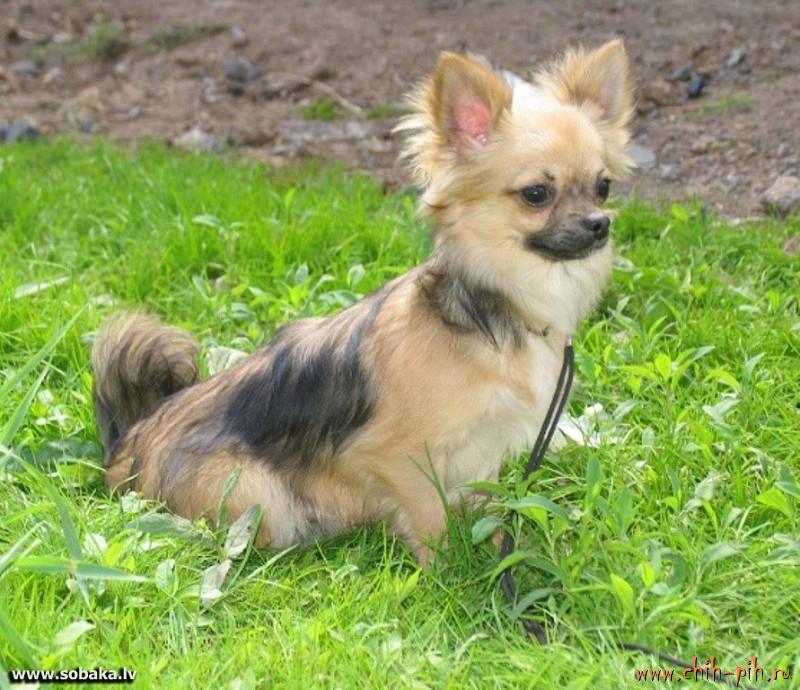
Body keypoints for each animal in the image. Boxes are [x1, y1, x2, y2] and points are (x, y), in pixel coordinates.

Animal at [92, 40, 635, 566]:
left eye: (603, 186)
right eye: (536, 194)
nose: (599, 225)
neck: (496, 308)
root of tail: (130, 440)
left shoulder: (482, 450)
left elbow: (485, 504)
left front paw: (497, 543)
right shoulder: (397, 458)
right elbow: (430, 523)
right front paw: (447, 575)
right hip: (258, 495)